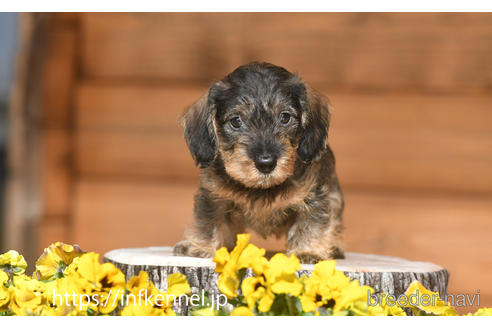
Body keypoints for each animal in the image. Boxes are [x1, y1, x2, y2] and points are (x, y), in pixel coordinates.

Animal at [175, 61, 344, 264]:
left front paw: (309, 251)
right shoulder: (213, 197)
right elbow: (208, 222)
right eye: (236, 121)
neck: (262, 188)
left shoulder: (314, 197)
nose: (266, 163)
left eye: (285, 117)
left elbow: (311, 223)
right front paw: (200, 247)